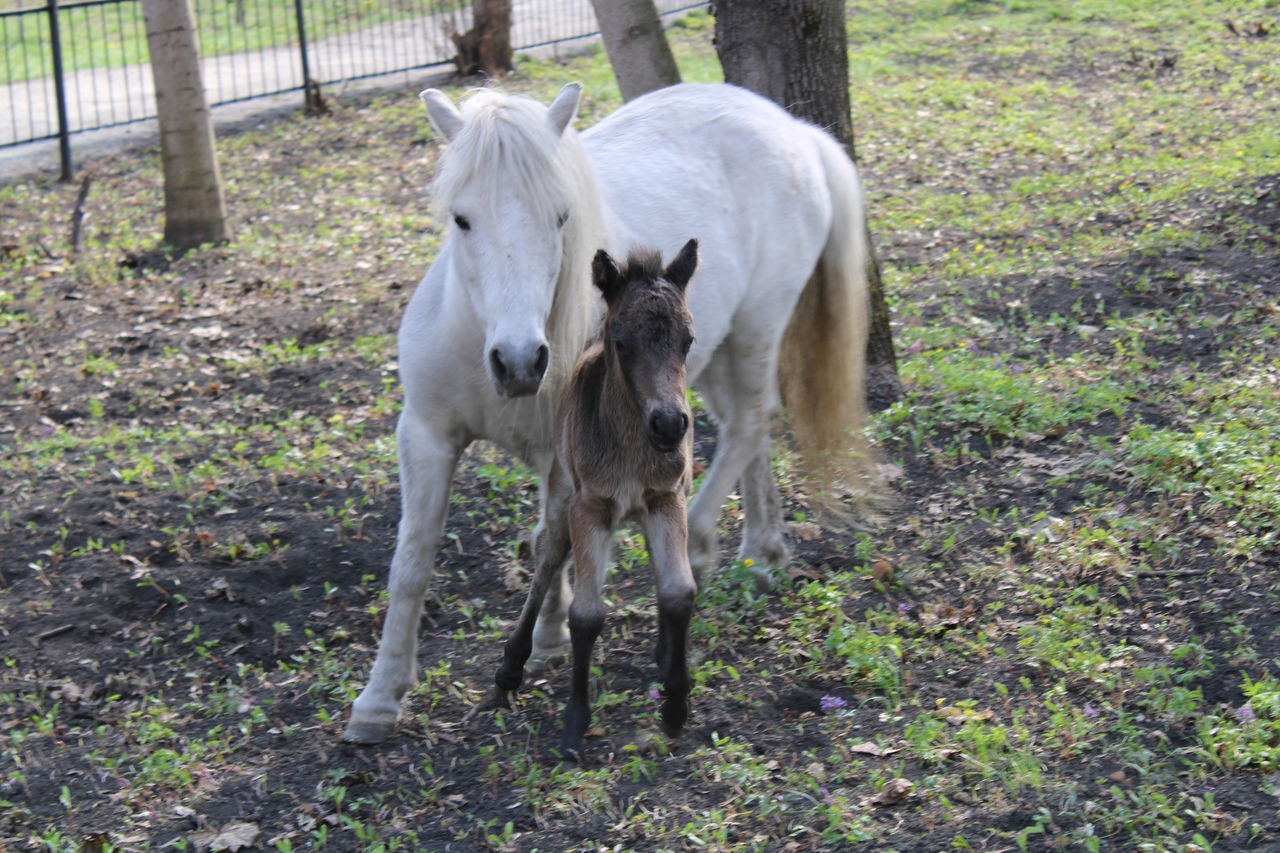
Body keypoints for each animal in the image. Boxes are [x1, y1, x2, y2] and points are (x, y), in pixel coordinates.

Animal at [345, 83, 875, 742]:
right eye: (461, 219)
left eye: (561, 217)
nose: (519, 361)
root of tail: (793, 128)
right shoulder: (428, 435)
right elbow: (419, 561)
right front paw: (381, 697)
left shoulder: (566, 450)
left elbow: (551, 540)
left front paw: (541, 641)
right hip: (710, 356)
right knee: (746, 429)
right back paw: (764, 548)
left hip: (753, 332)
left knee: (750, 424)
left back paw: (704, 545)